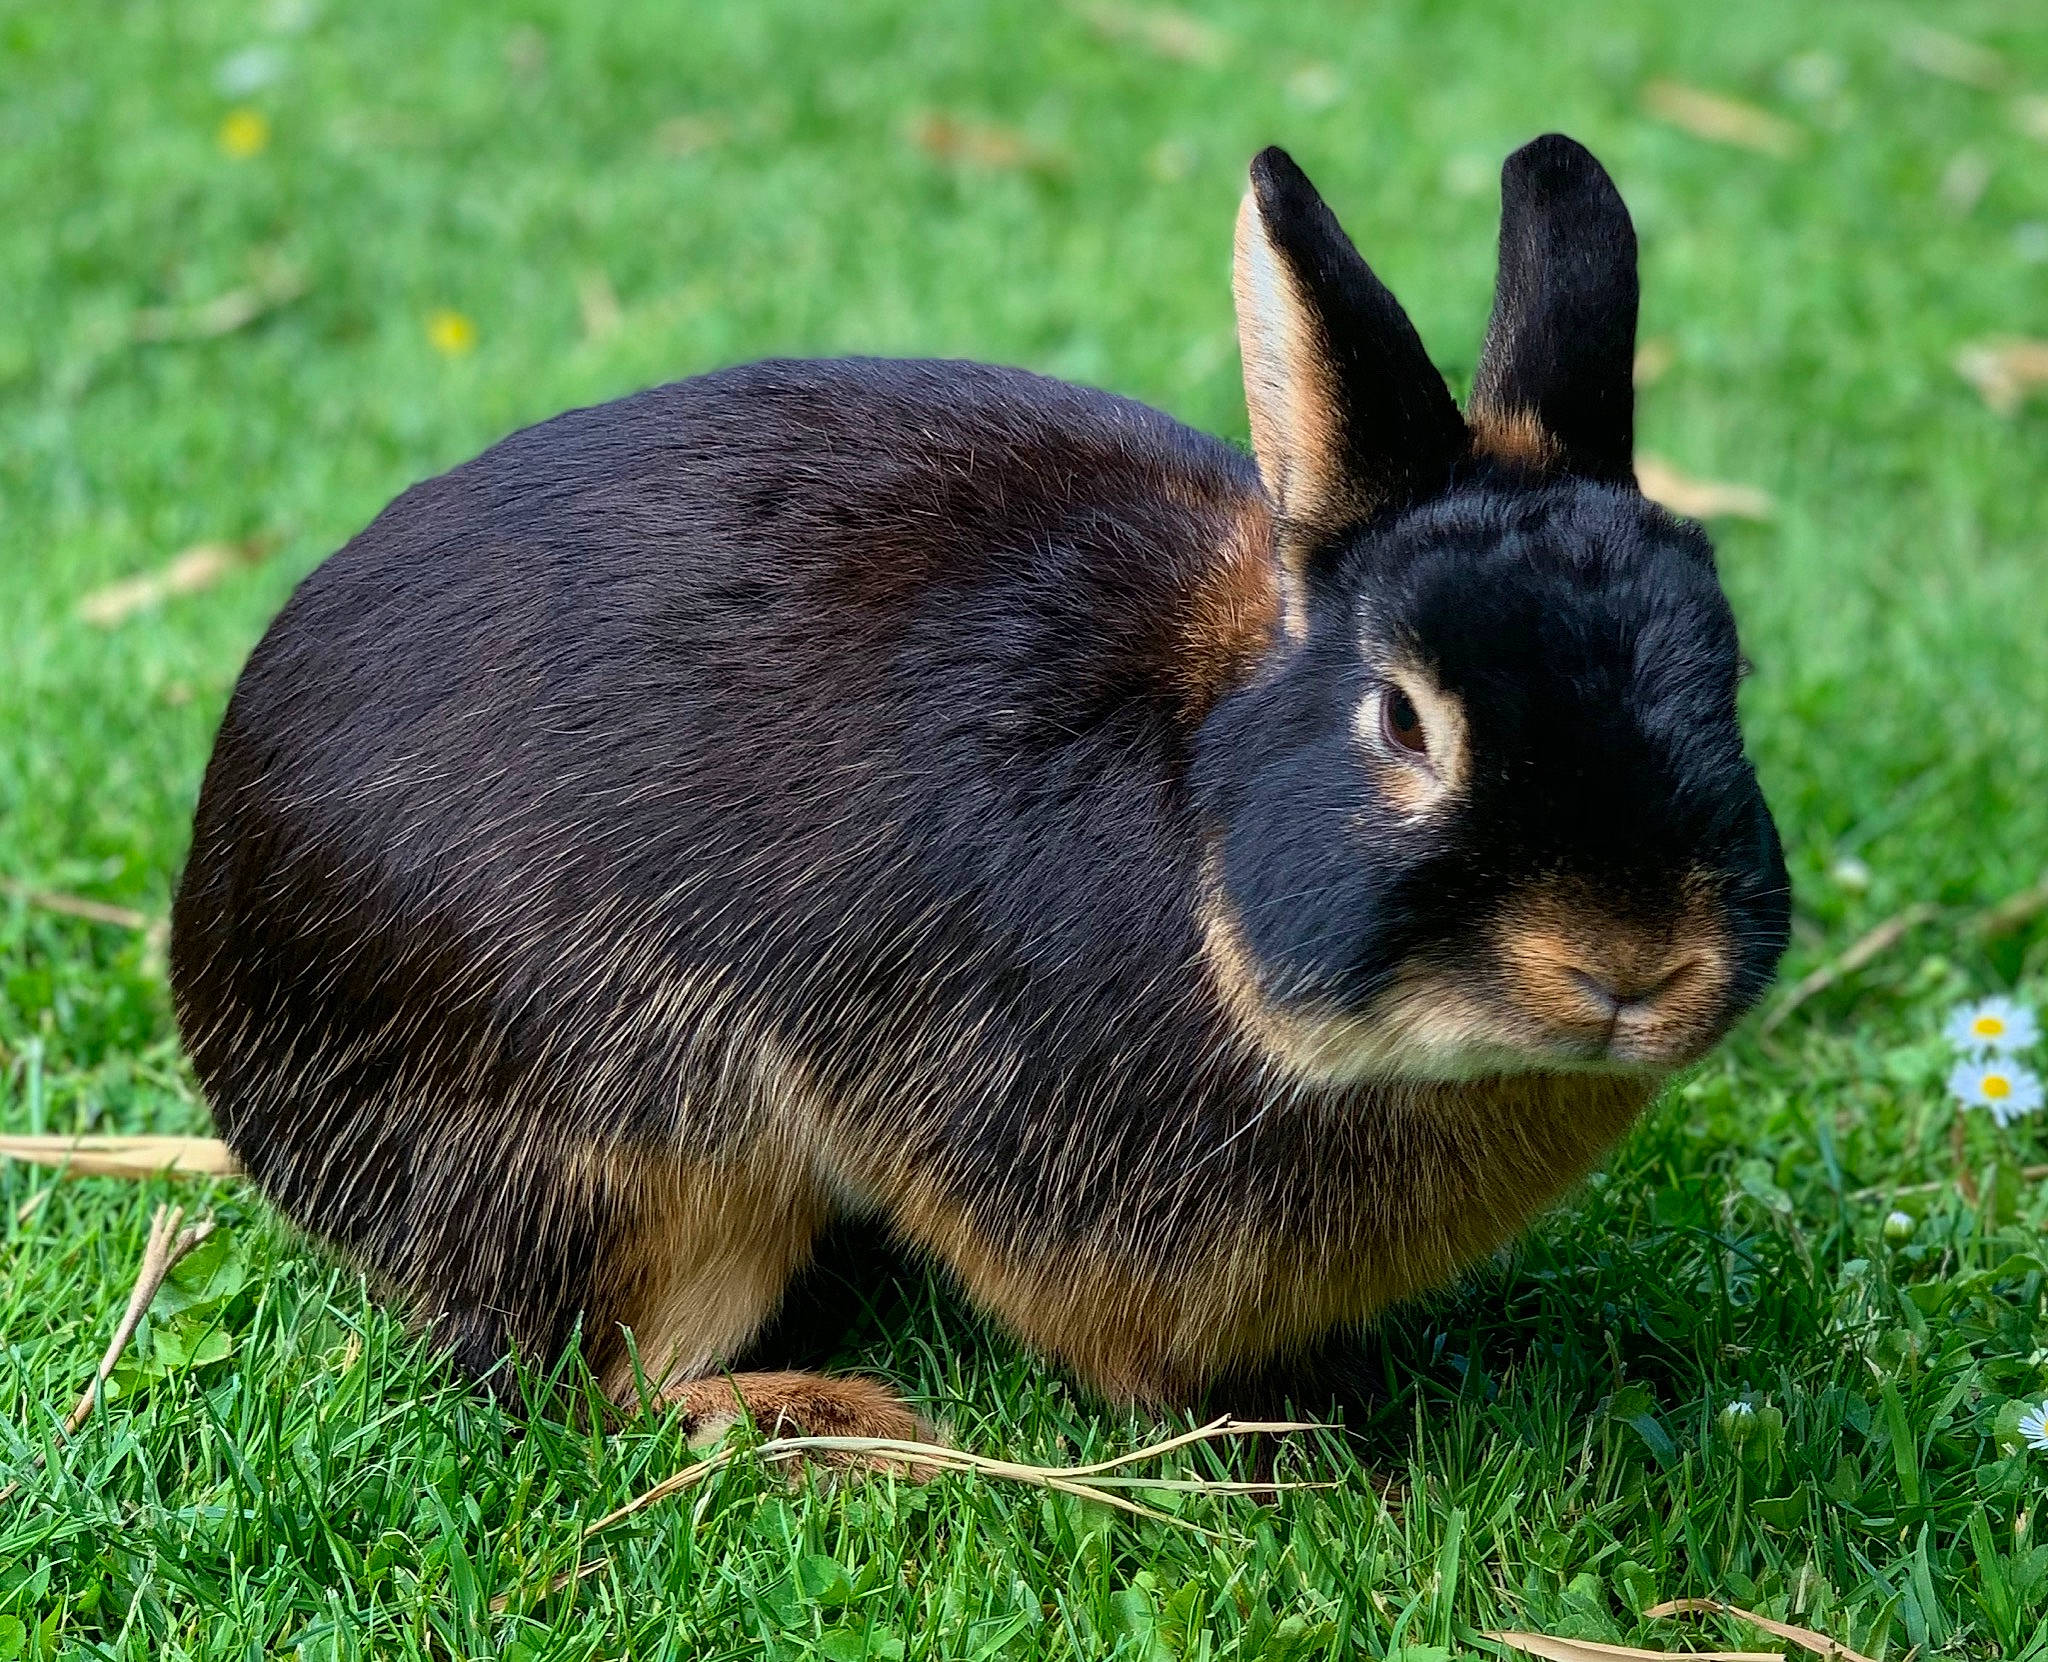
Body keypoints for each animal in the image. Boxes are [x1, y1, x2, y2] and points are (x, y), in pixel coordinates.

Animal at [169, 134, 1789, 1443]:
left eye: (1727, 668)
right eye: (1401, 718)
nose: (1631, 965)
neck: (1199, 803)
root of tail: (214, 961)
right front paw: (1288, 1448)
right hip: (644, 1158)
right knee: (591, 1380)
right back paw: (830, 1424)